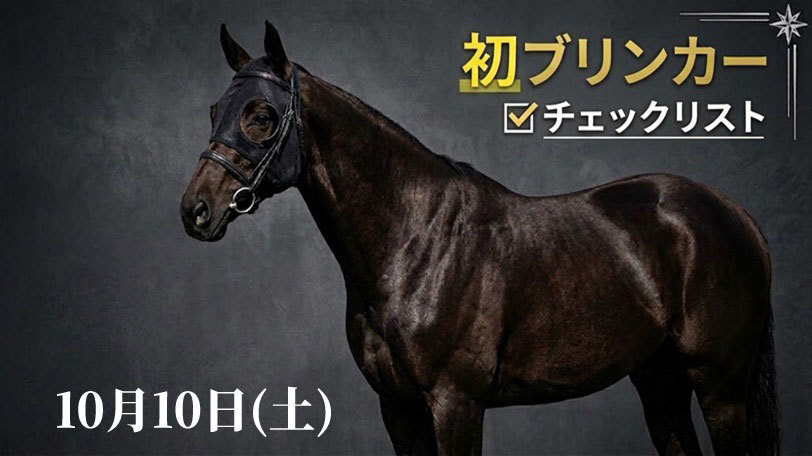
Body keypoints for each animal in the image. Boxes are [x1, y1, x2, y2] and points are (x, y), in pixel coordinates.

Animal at [180, 21, 778, 456]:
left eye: (262, 115)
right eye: (214, 111)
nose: (196, 210)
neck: (415, 245)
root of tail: (736, 213)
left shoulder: (456, 403)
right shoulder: (398, 409)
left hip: (721, 388)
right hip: (660, 384)